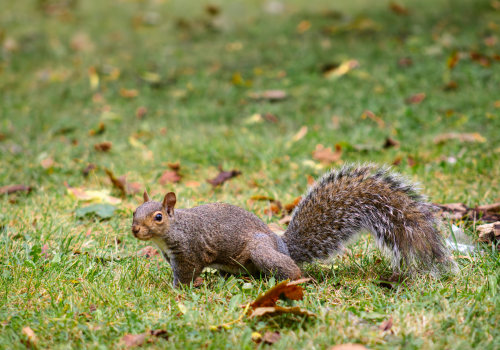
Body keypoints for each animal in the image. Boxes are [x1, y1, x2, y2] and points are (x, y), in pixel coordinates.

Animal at [132, 164, 458, 288]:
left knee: (290, 270)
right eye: (134, 211)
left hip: (260, 251)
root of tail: (283, 246)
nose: (135, 230)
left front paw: (175, 290)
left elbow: (186, 274)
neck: (173, 230)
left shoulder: (189, 252)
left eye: (158, 217)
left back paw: (298, 281)